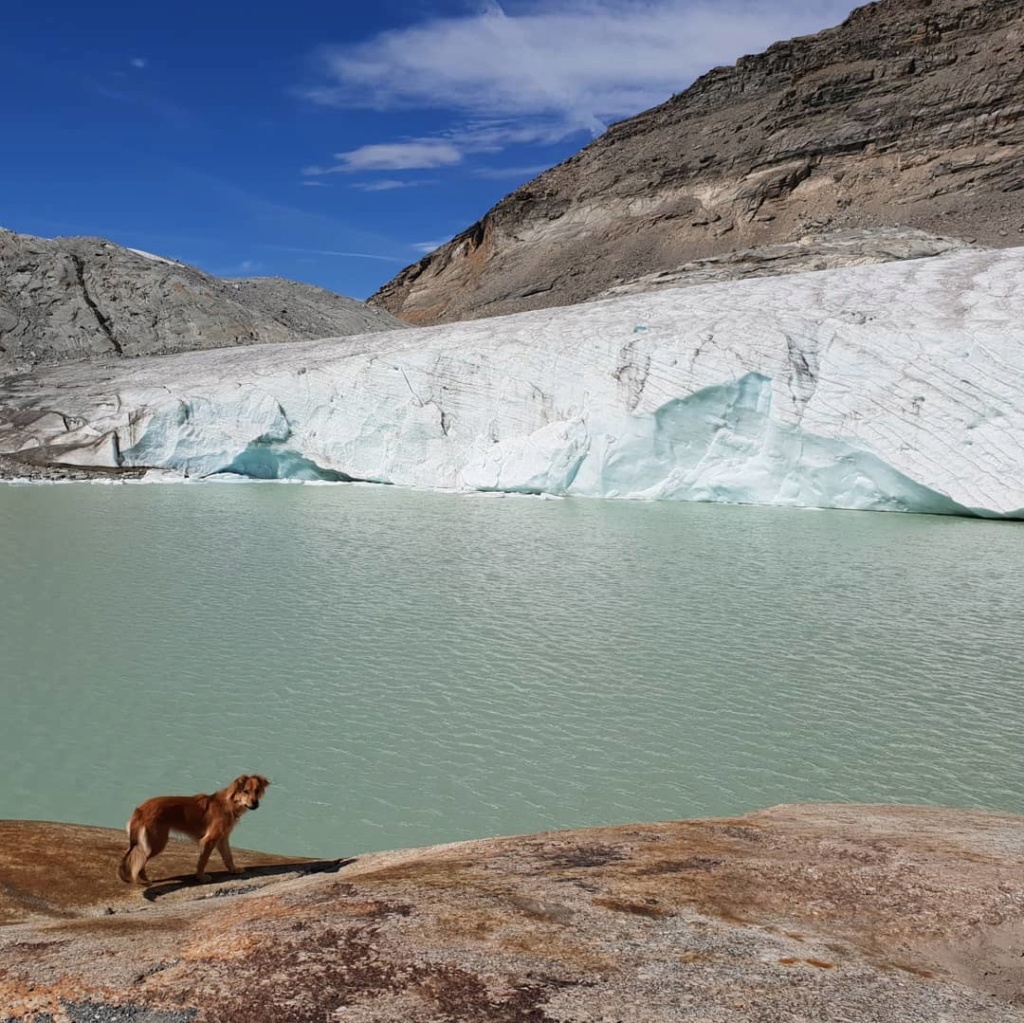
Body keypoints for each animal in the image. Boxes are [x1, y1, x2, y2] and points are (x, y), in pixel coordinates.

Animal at [117, 770, 270, 884]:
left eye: (257, 791)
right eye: (245, 791)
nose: (255, 804)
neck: (229, 804)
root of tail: (141, 809)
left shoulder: (223, 838)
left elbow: (228, 856)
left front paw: (234, 870)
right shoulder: (209, 840)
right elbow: (203, 860)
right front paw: (201, 877)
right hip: (157, 841)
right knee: (141, 860)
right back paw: (145, 880)